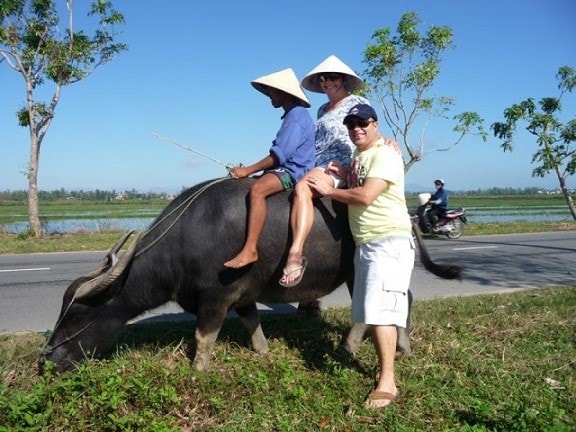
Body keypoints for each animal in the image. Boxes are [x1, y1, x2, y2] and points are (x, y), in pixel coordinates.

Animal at [39, 177, 460, 372]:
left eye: (77, 315)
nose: (48, 360)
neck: (184, 242)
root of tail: (405, 214)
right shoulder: (241, 296)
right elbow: (252, 323)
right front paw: (263, 352)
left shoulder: (214, 298)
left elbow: (203, 336)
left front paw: (198, 369)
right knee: (402, 300)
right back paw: (401, 346)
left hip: (366, 268)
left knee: (375, 308)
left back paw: (349, 347)